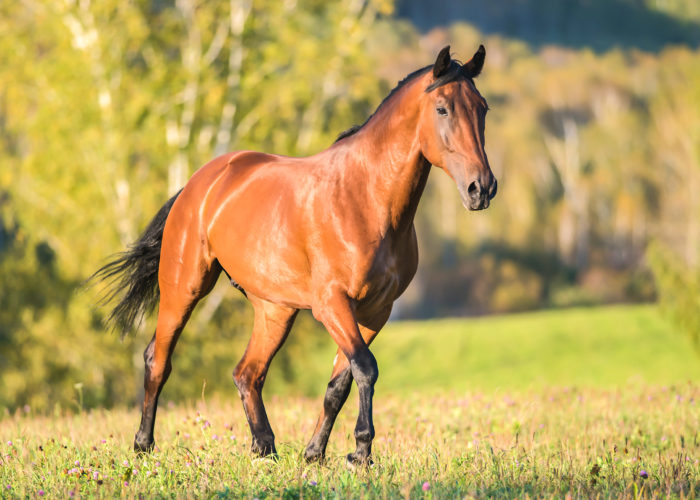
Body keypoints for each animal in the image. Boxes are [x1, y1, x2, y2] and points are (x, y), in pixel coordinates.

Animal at [93, 45, 498, 466]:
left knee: (248, 373)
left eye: (482, 108)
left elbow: (340, 383)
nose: (481, 188)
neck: (365, 199)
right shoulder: (332, 304)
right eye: (442, 108)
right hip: (184, 288)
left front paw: (316, 453)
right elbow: (366, 369)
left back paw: (264, 447)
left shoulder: (375, 312)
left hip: (275, 310)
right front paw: (361, 452)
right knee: (158, 359)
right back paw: (143, 445)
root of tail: (197, 184)